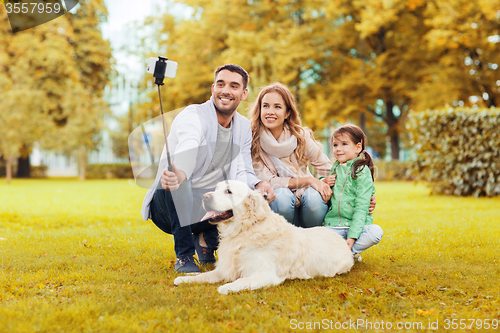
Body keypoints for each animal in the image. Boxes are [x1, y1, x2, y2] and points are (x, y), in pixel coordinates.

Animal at [174, 179, 354, 294]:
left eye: (228, 191)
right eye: (216, 189)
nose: (205, 197)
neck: (243, 231)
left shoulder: (265, 275)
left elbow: (241, 280)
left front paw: (227, 287)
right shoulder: (224, 268)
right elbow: (204, 275)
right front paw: (185, 279)